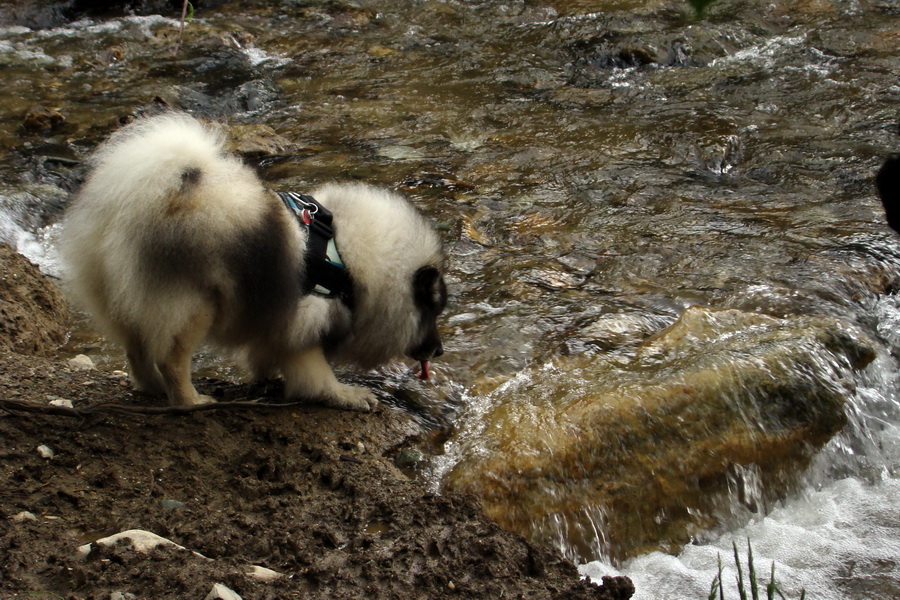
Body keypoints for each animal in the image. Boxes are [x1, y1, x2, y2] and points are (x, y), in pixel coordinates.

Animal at [59, 111, 446, 412]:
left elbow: (264, 353)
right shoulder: (305, 316)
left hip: (127, 300)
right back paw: (189, 401)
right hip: (193, 306)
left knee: (136, 350)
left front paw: (267, 376)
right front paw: (343, 394)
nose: (440, 350)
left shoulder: (272, 314)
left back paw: (152, 388)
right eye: (432, 312)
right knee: (170, 359)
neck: (345, 255)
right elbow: (314, 371)